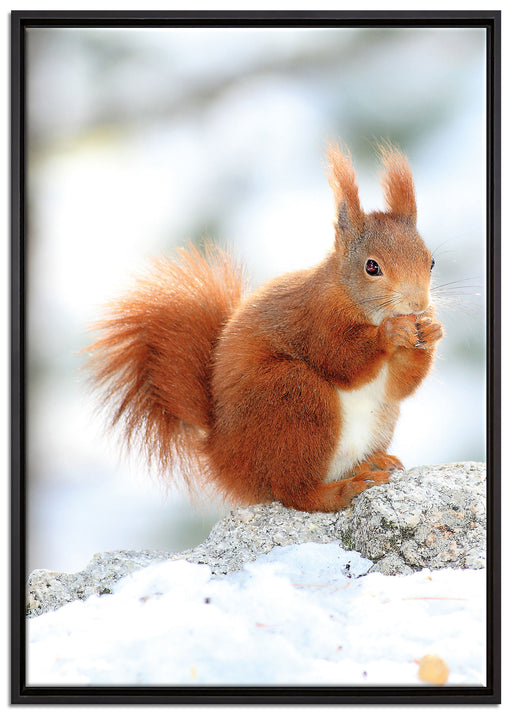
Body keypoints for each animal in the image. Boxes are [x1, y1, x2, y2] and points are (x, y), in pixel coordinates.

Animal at [86, 141, 443, 513]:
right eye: (372, 267)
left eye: (431, 261)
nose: (418, 304)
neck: (359, 303)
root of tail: (223, 457)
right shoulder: (316, 319)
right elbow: (342, 360)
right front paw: (391, 333)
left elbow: (400, 385)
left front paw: (431, 331)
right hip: (293, 398)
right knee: (295, 491)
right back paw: (345, 488)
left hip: (376, 418)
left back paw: (371, 463)